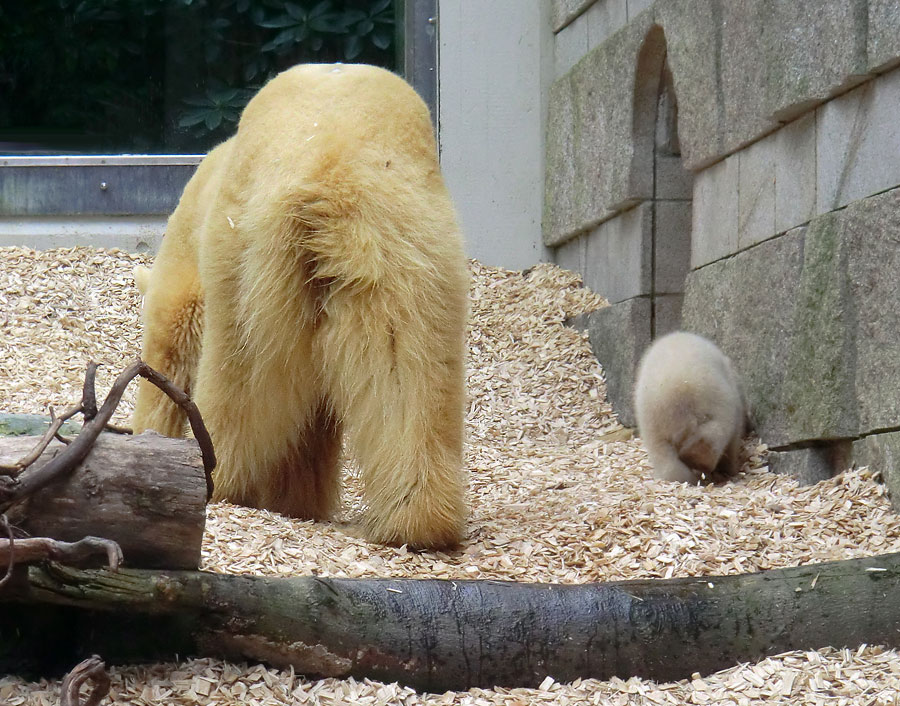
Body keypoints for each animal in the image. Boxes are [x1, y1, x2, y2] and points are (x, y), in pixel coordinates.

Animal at [135, 63, 472, 548]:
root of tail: (331, 170)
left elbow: (167, 350)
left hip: (250, 256)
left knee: (243, 375)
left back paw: (223, 476)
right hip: (408, 249)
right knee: (407, 373)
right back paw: (419, 518)